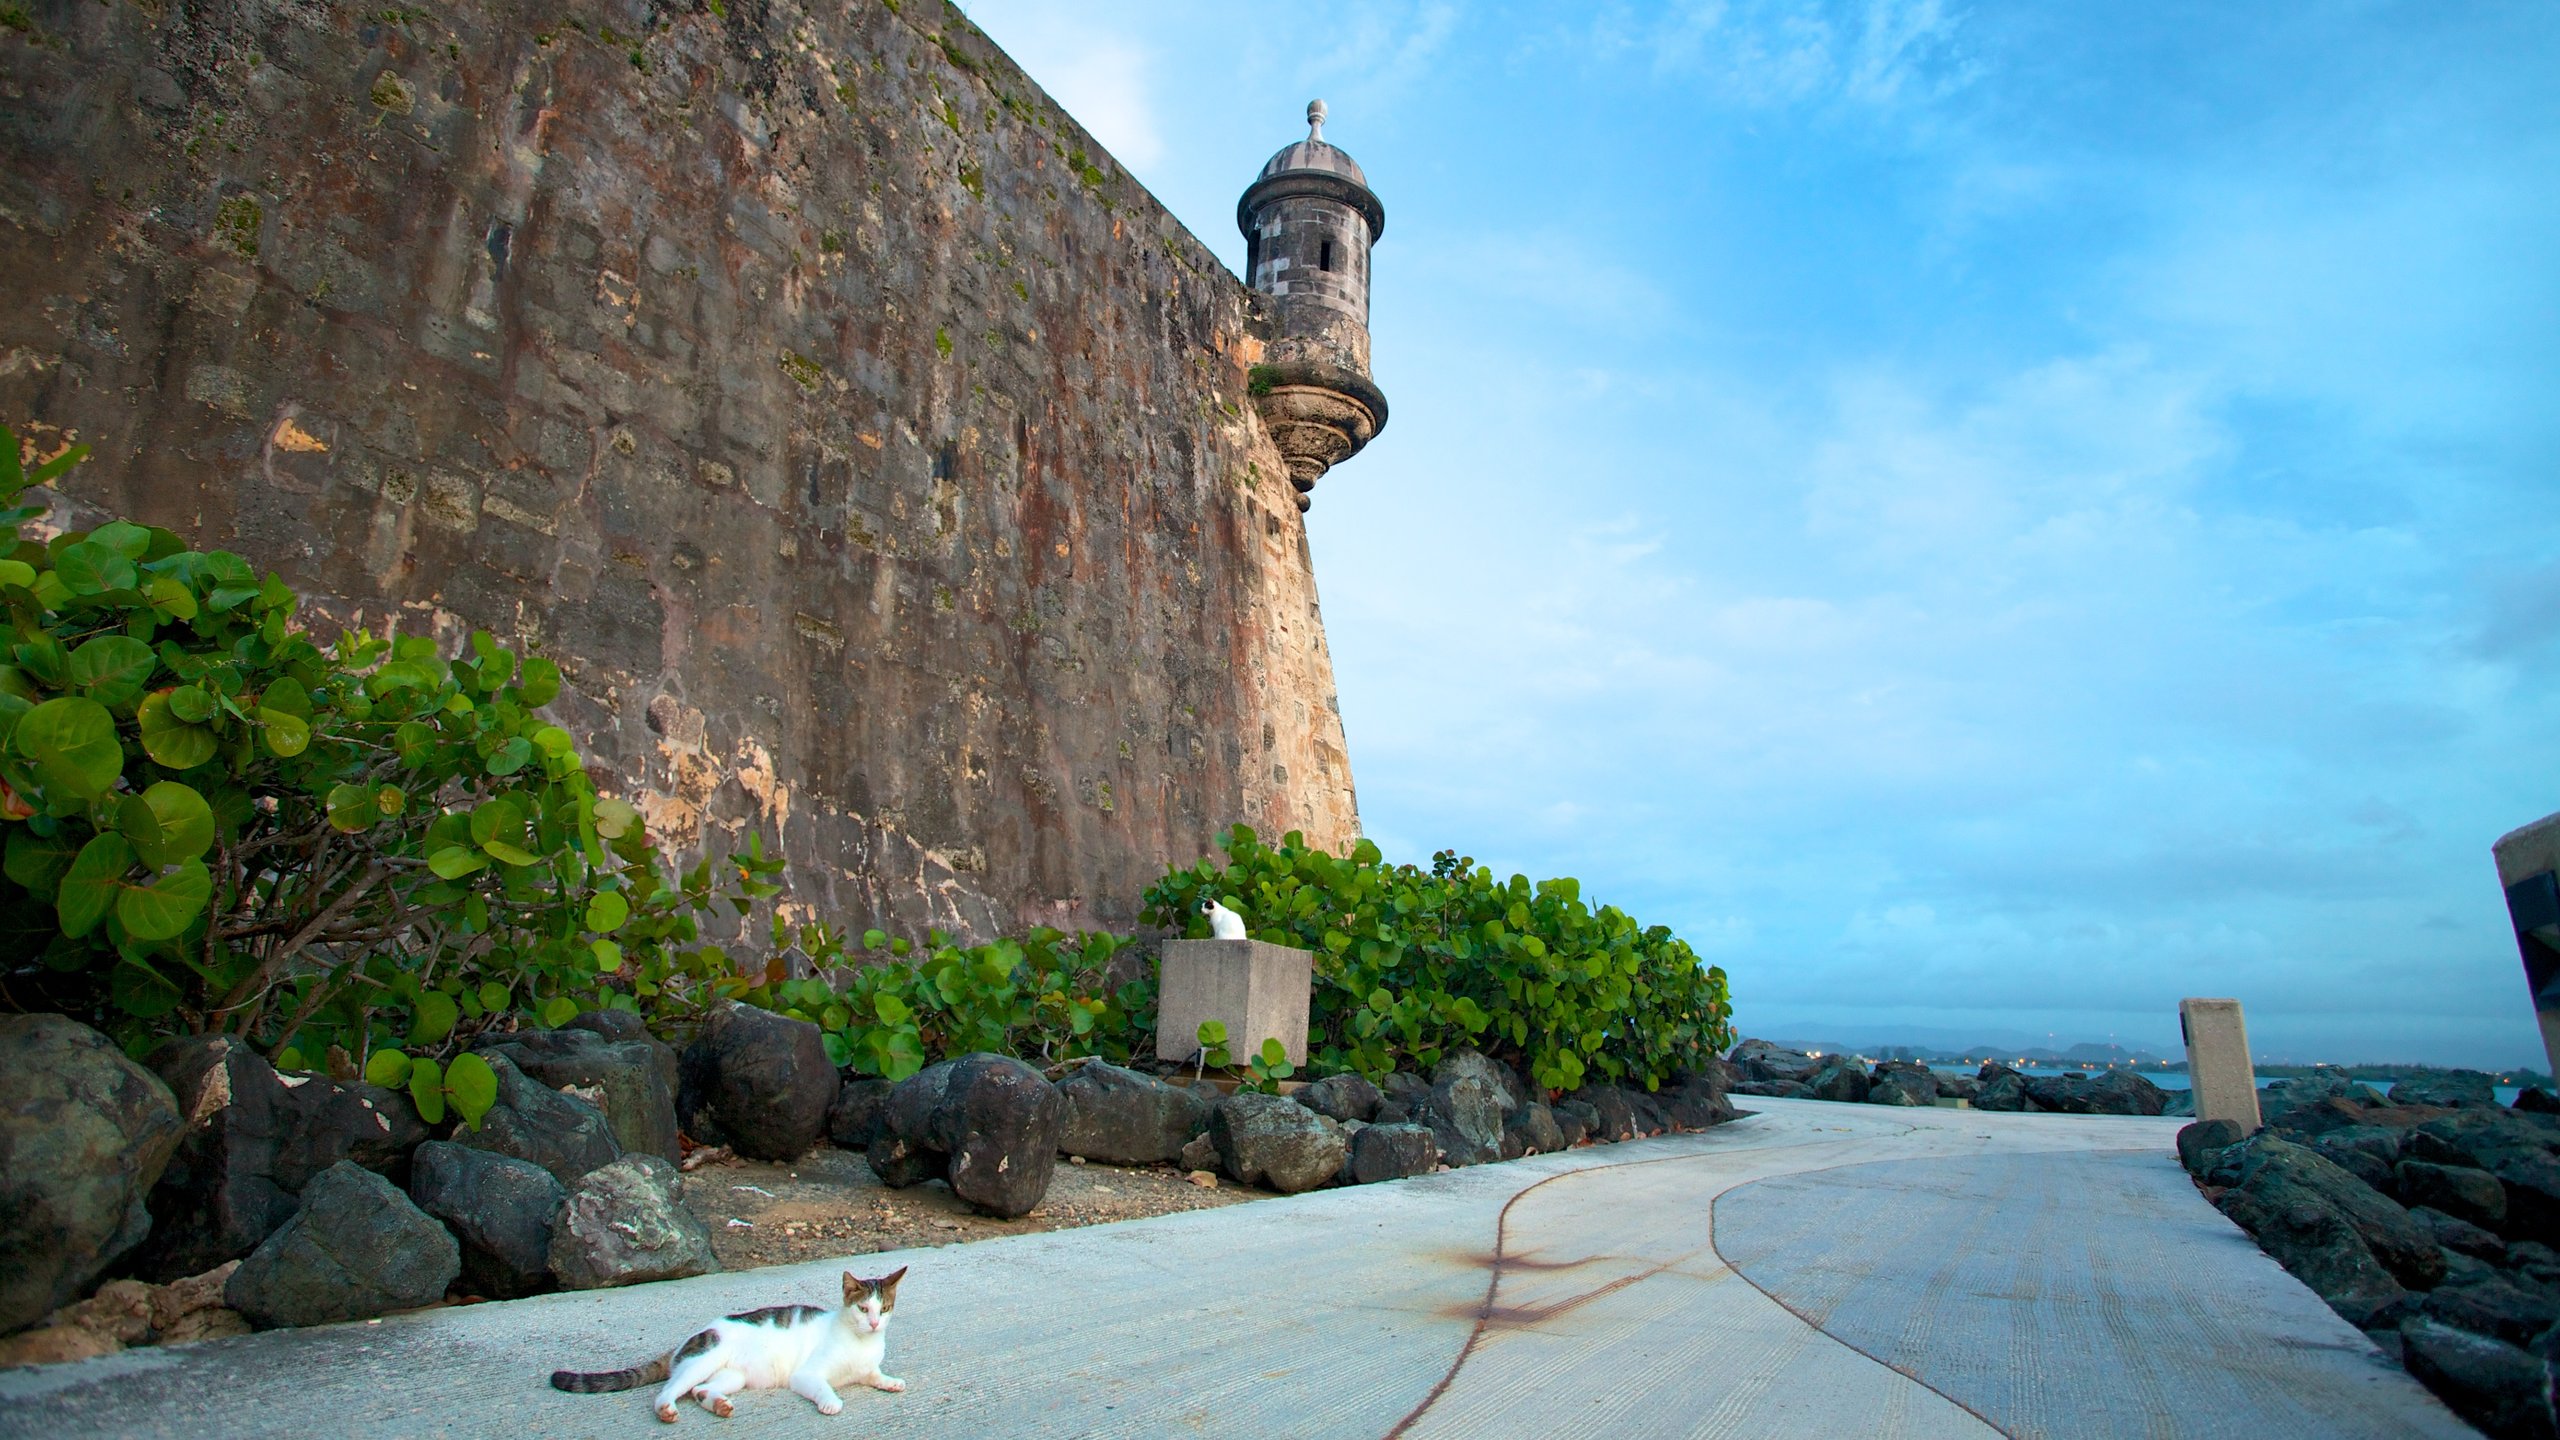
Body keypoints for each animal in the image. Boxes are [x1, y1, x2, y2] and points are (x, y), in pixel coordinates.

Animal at [550, 1260, 911, 1414]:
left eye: (884, 1308)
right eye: (863, 1309)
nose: (875, 1324)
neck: (861, 1342)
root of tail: (688, 1339)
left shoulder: (866, 1368)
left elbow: (874, 1374)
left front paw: (890, 1381)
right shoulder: (806, 1375)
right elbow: (822, 1386)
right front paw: (831, 1401)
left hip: (733, 1376)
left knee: (700, 1390)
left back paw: (717, 1404)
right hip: (702, 1360)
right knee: (667, 1391)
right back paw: (667, 1408)